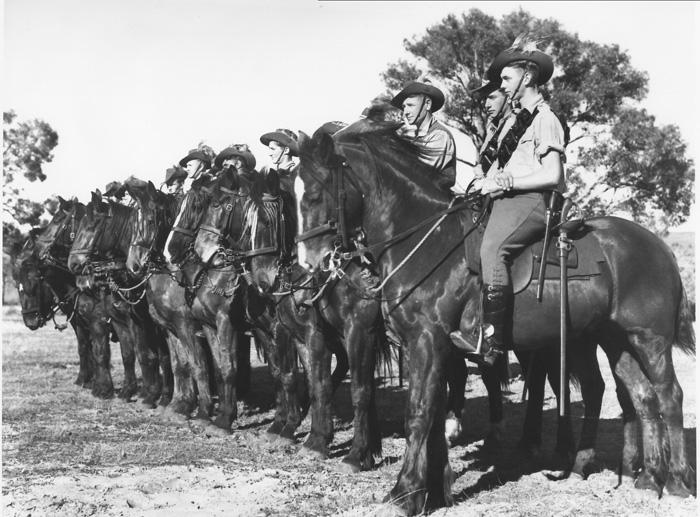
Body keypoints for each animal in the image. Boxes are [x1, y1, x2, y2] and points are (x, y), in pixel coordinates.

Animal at [67, 191, 174, 410]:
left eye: (92, 225)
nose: (73, 264)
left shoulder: (137, 322)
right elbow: (127, 355)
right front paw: (128, 391)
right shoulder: (118, 322)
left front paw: (149, 395)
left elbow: (144, 355)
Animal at [123, 177, 216, 428]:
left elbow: (197, 366)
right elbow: (179, 365)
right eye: (132, 224)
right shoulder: (170, 330)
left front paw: (200, 410)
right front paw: (180, 406)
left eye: (150, 220)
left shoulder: (186, 328)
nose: (133, 265)